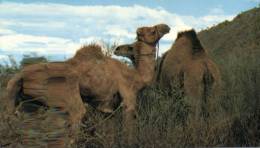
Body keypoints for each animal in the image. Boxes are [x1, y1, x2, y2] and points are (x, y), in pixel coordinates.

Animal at [5, 23, 171, 146]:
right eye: (152, 30)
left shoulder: (106, 109)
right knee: (68, 131)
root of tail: (19, 75)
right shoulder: (129, 100)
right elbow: (128, 133)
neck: (136, 77)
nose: (166, 27)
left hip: (29, 105)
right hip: (64, 100)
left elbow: (109, 135)